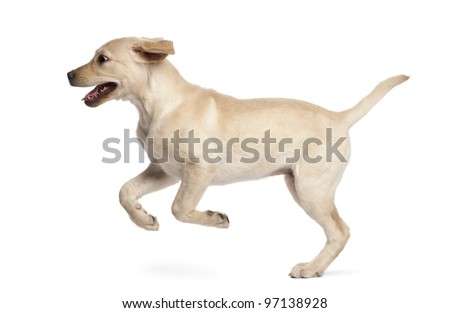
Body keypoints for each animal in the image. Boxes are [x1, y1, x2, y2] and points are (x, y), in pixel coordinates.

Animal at [67, 37, 408, 278]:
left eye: (102, 59)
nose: (68, 74)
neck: (154, 104)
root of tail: (339, 117)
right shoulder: (165, 171)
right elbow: (125, 191)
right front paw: (143, 218)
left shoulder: (198, 171)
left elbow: (180, 208)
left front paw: (214, 219)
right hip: (298, 185)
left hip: (312, 189)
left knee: (340, 231)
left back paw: (311, 269)